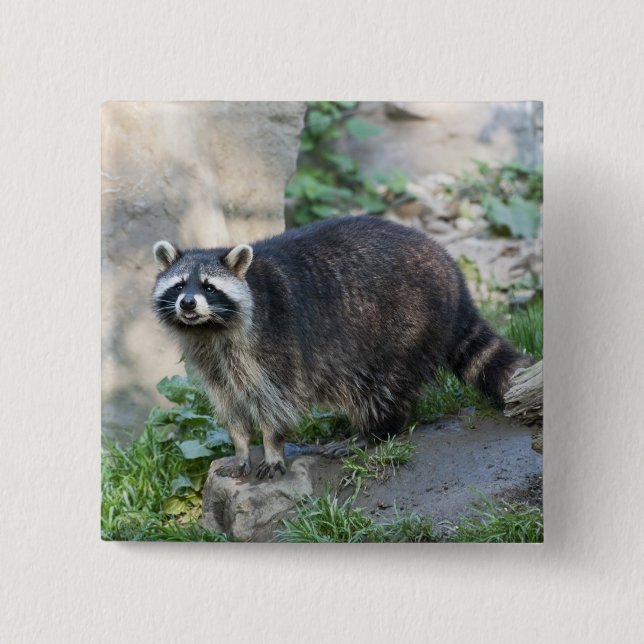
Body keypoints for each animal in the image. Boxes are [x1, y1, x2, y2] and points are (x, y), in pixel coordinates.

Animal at [152, 216, 529, 479]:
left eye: (209, 287)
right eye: (179, 285)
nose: (188, 304)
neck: (210, 329)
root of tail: (454, 277)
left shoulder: (275, 346)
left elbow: (278, 402)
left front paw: (272, 446)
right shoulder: (214, 362)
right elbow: (230, 405)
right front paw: (241, 446)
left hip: (402, 325)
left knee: (379, 389)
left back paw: (373, 432)